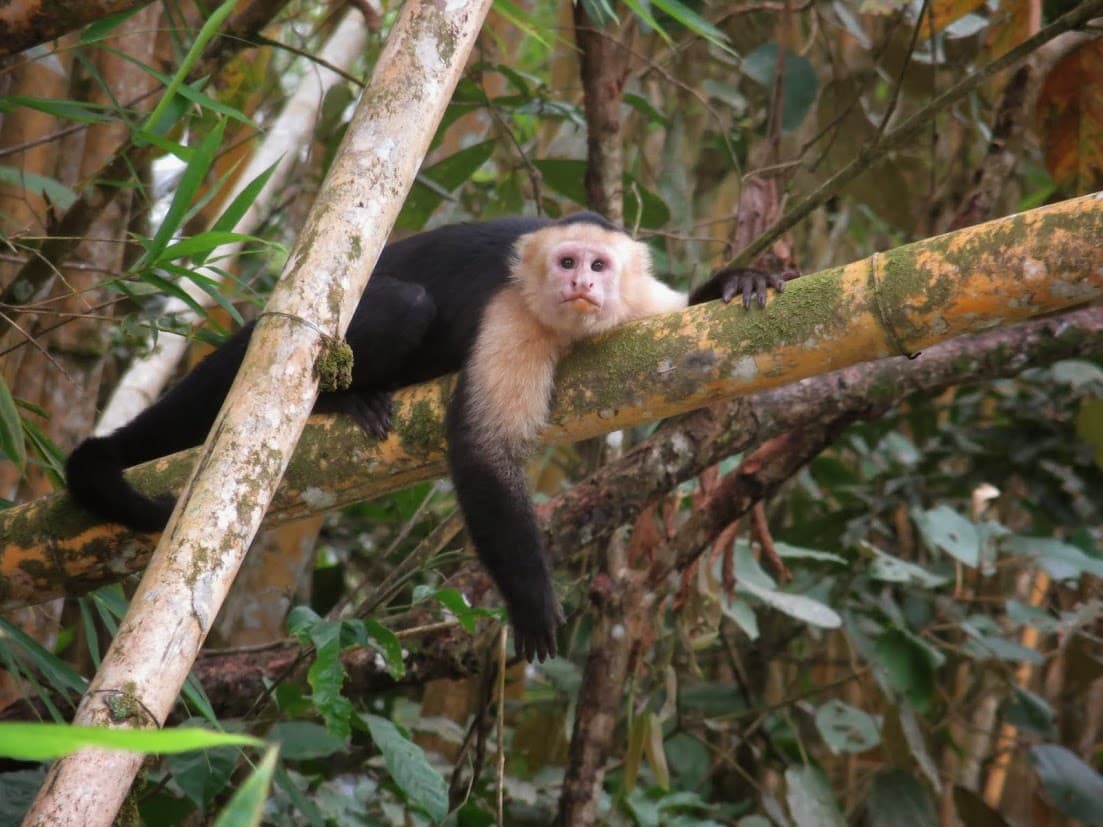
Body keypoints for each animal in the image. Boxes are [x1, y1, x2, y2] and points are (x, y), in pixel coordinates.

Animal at [65, 212, 790, 661]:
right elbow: (481, 450)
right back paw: (342, 397)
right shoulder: (512, 317)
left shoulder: (639, 306)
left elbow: (691, 318)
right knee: (402, 304)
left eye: (599, 265)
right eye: (566, 261)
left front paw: (739, 278)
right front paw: (532, 599)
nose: (581, 282)